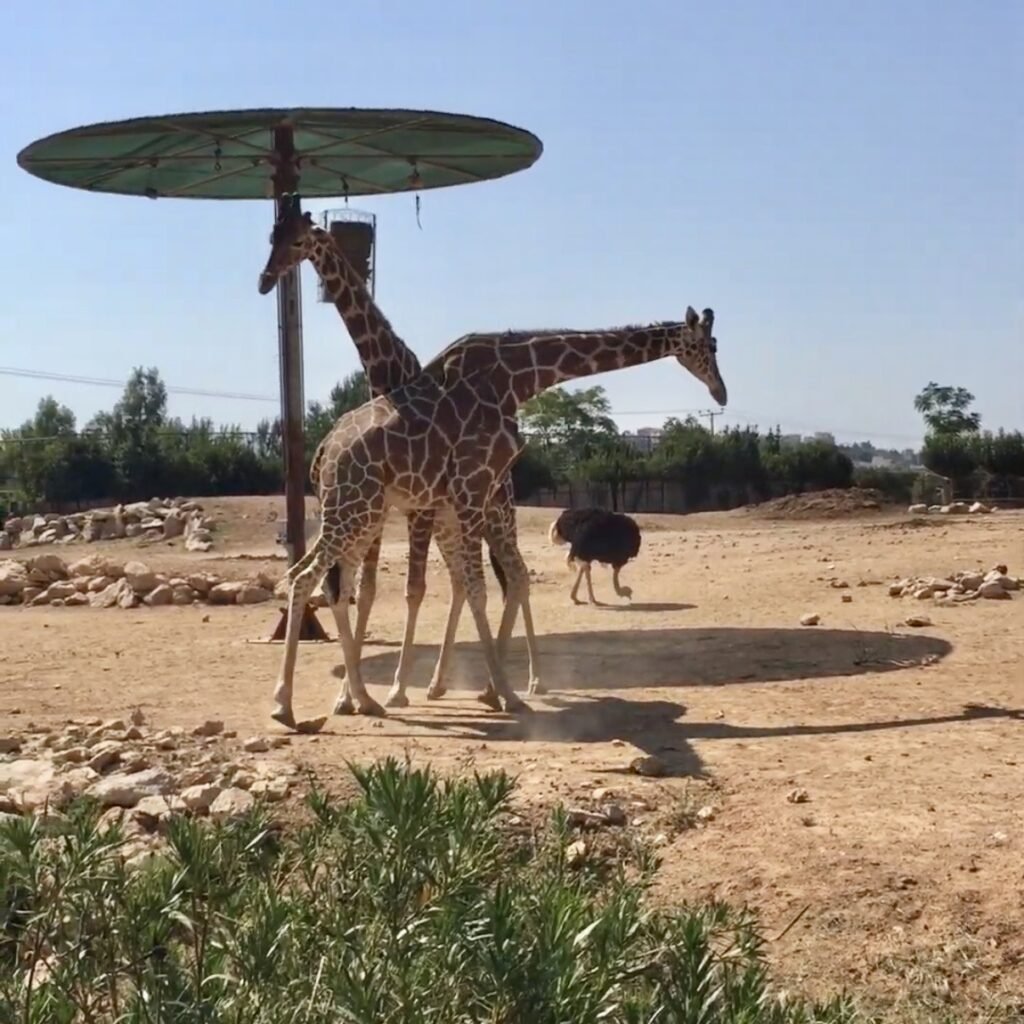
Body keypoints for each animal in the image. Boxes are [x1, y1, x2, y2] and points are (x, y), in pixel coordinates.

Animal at [259, 206, 543, 715]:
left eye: (297, 241)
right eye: (271, 236)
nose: (264, 280)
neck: (387, 373)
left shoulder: (414, 508)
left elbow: (410, 590)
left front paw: (391, 689)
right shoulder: (386, 507)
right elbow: (365, 590)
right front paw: (350, 696)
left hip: (493, 513)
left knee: (515, 576)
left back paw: (527, 681)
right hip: (451, 520)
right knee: (467, 582)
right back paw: (446, 684)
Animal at [269, 306, 726, 728]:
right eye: (709, 346)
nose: (720, 392)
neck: (516, 379)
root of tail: (323, 453)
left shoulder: (478, 493)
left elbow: (488, 584)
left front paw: (493, 689)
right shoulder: (471, 487)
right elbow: (477, 589)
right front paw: (506, 693)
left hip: (361, 511)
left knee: (331, 584)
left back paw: (362, 699)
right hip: (355, 509)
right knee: (304, 578)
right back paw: (286, 705)